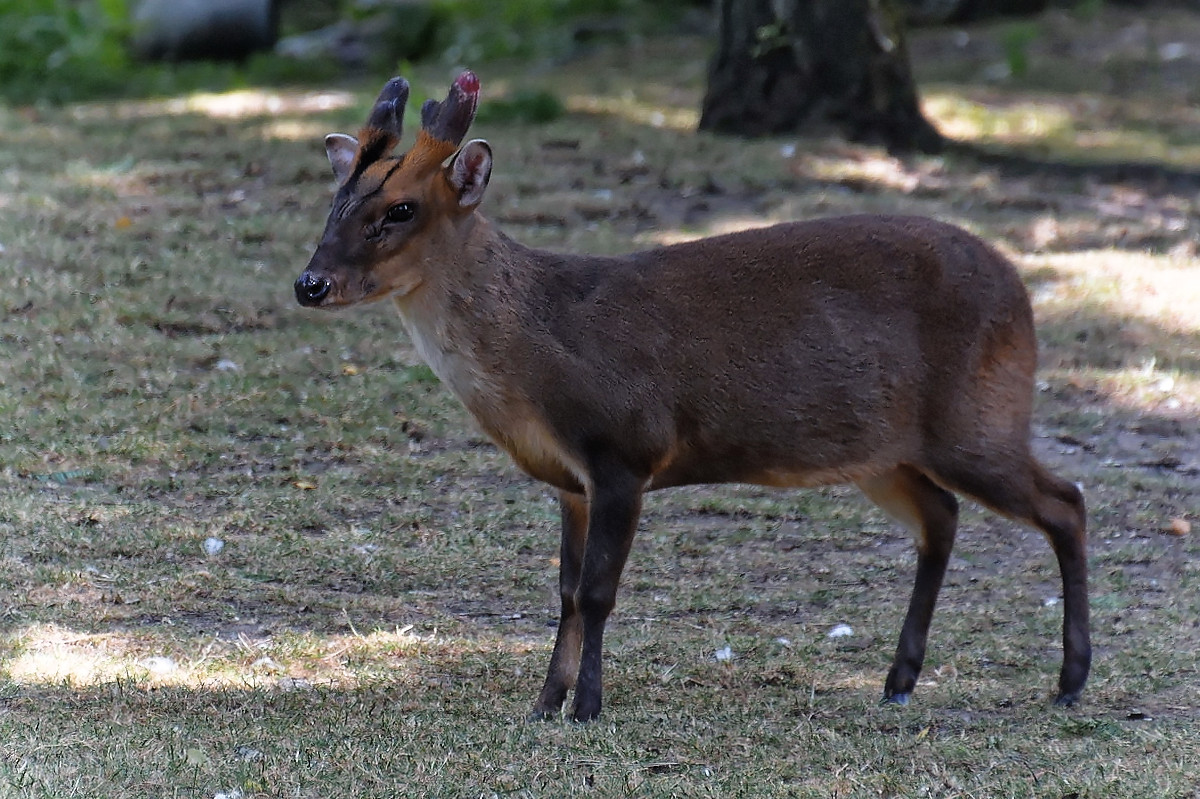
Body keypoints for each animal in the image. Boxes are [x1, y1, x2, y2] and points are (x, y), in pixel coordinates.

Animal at [295, 73, 1094, 719]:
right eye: (335, 202)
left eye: (400, 210)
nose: (310, 283)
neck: (540, 356)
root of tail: (1022, 291)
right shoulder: (569, 480)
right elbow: (564, 592)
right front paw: (545, 702)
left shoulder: (625, 448)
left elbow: (598, 591)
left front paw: (587, 708)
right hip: (884, 451)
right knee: (943, 516)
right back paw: (899, 681)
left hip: (977, 416)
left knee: (1066, 500)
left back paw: (1069, 680)